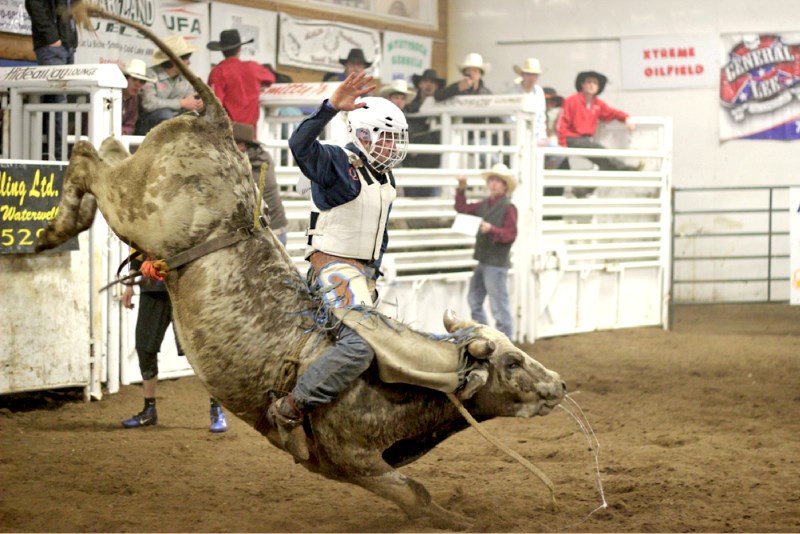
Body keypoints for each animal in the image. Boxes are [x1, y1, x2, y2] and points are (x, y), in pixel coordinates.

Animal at [34, 3, 564, 532]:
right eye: (512, 362)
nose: (559, 384)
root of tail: (217, 123)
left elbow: (415, 490)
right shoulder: (350, 457)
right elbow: (415, 493)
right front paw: (462, 521)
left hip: (136, 187)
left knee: (106, 145)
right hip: (137, 208)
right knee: (86, 156)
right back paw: (55, 229)